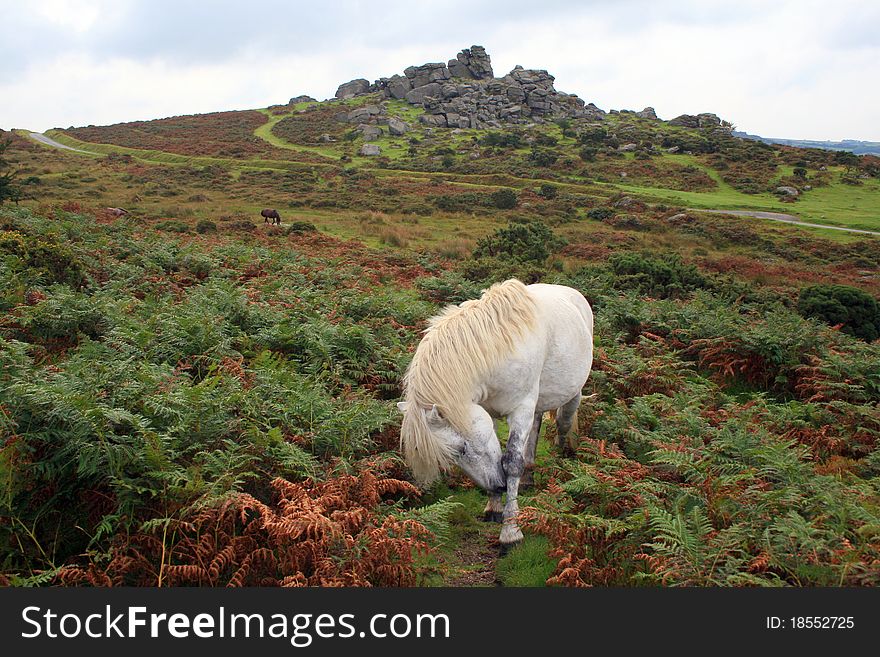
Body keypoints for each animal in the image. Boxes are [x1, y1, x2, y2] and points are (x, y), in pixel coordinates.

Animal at [398, 278, 592, 548]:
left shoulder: (520, 410)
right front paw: (494, 507)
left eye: (461, 449)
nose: (499, 486)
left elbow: (511, 463)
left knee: (564, 423)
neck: (499, 349)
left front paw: (511, 532)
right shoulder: (487, 411)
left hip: (572, 395)